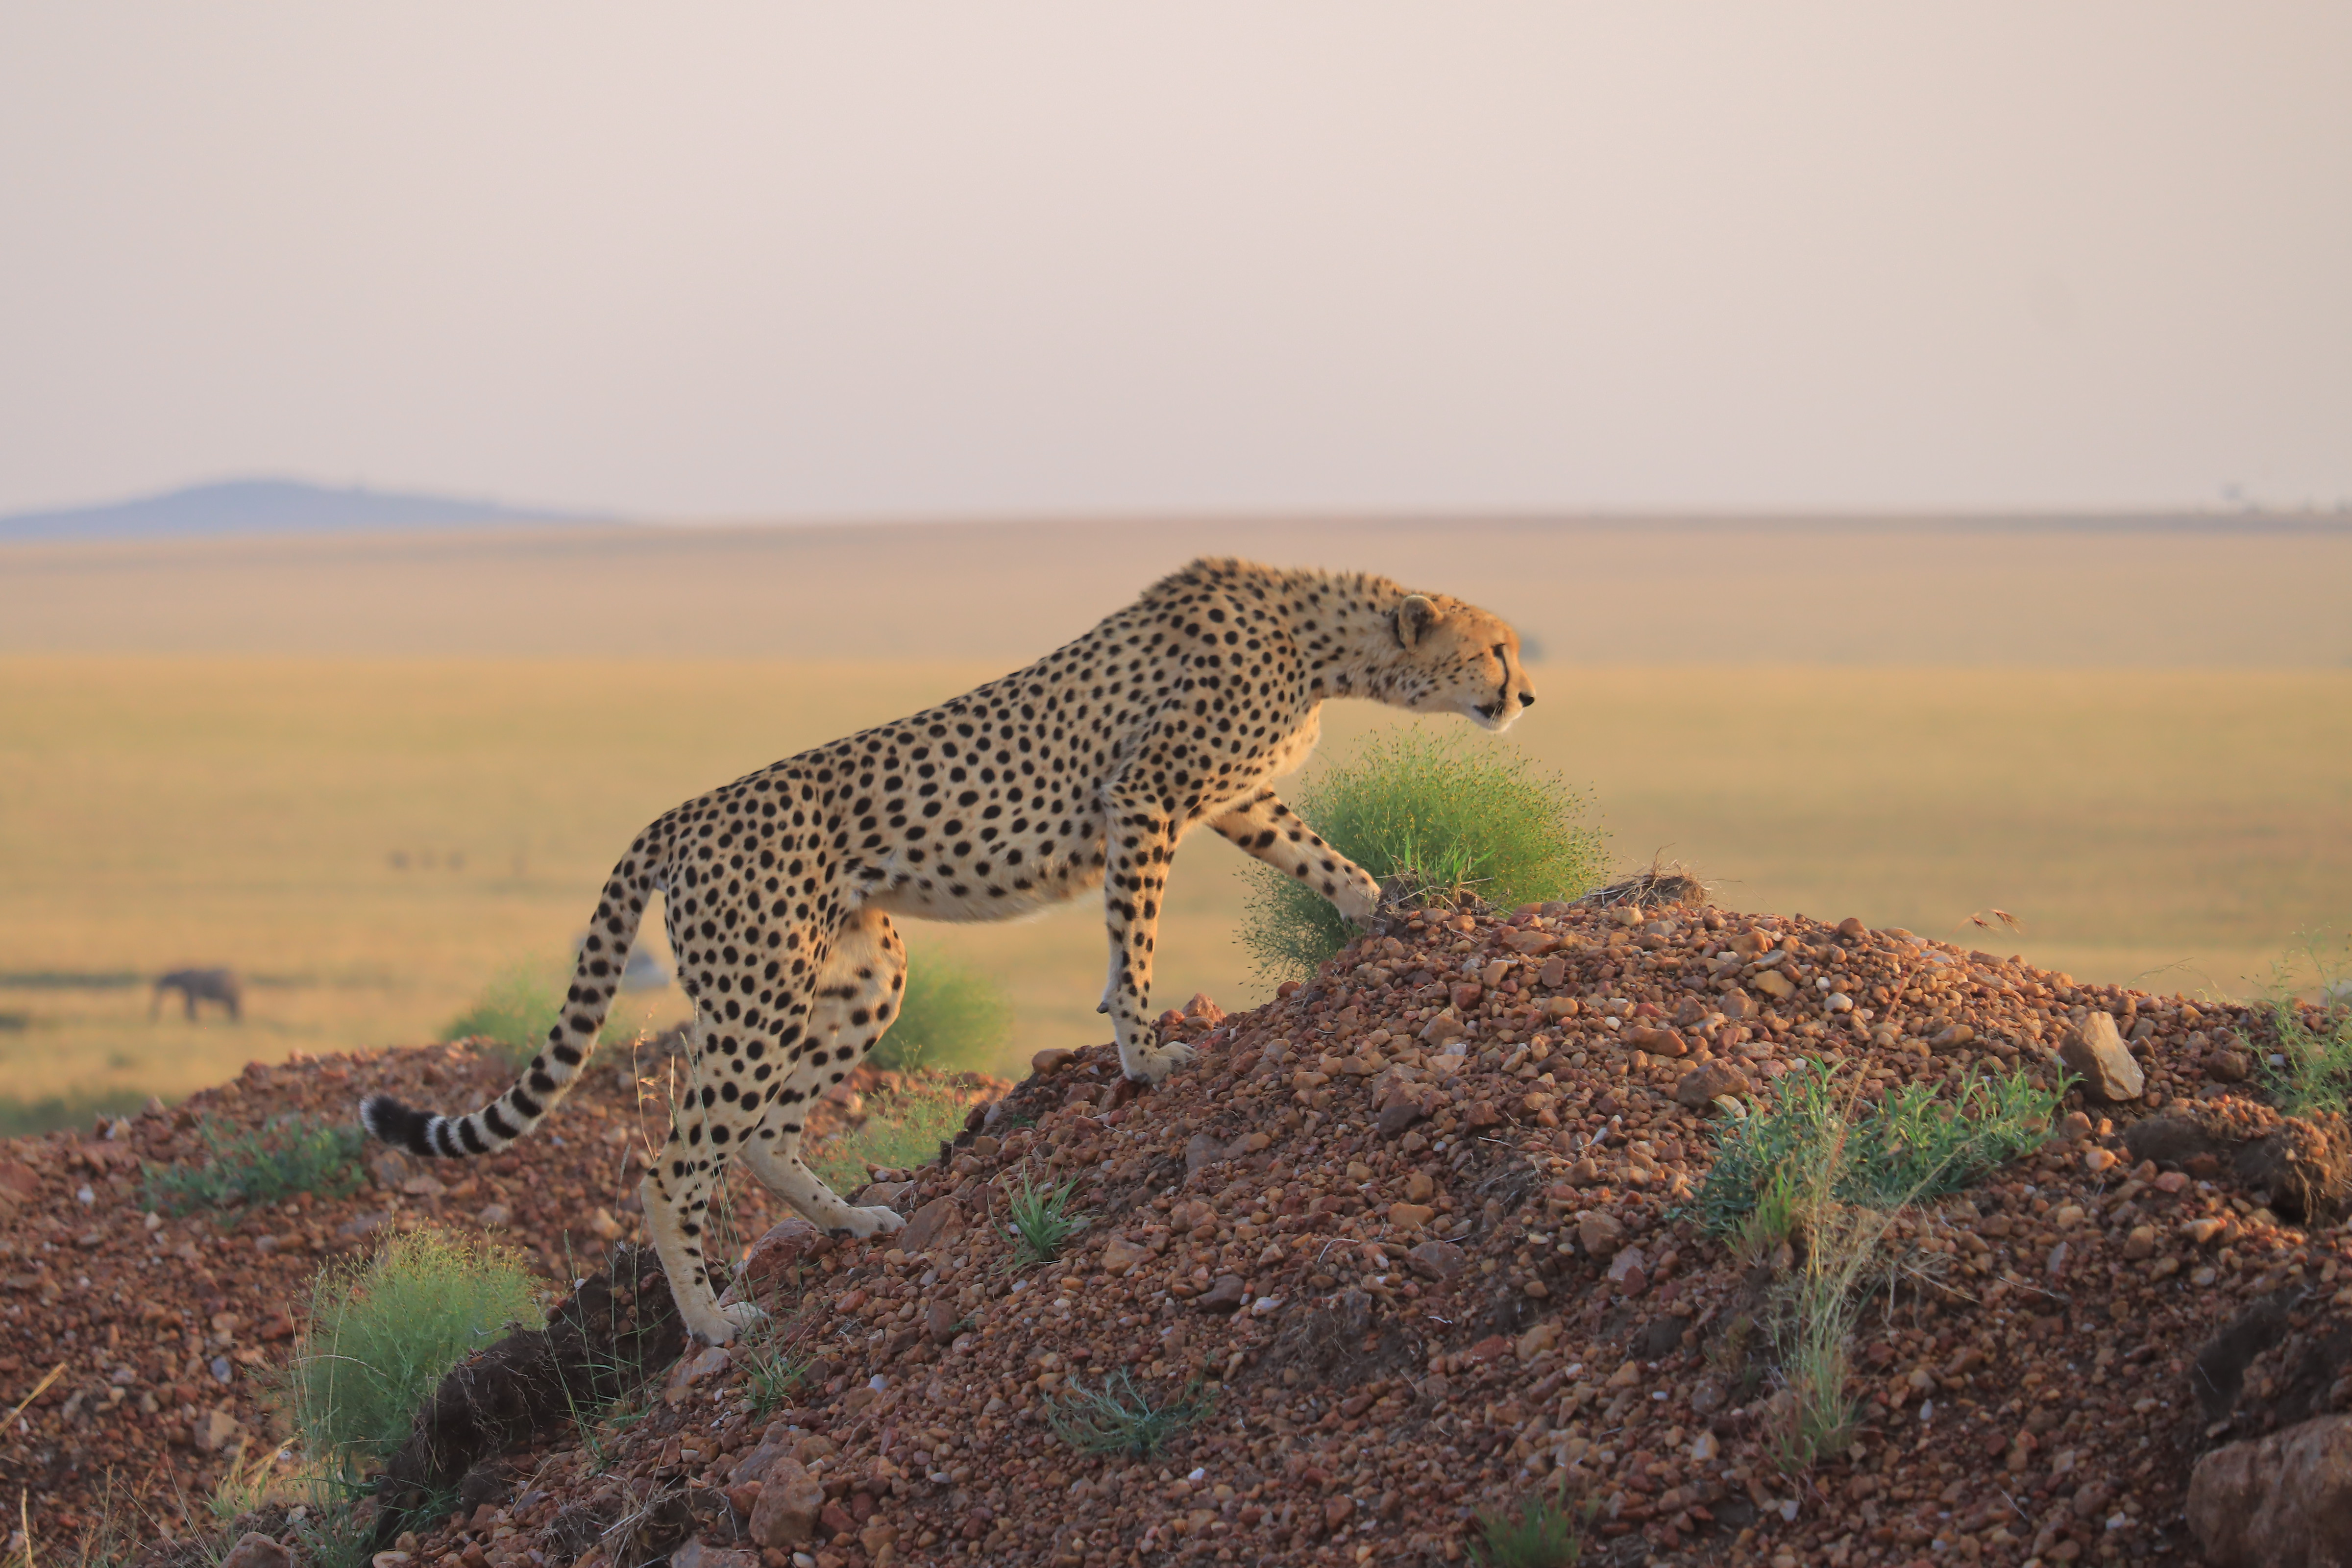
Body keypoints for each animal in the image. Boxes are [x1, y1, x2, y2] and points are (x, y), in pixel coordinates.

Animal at [361, 558, 1537, 1343]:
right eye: (1496, 647)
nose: (1527, 695)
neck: (1324, 637)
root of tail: (684, 813)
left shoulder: (1235, 798)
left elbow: (1328, 864)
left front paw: (1389, 913)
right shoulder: (1145, 800)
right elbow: (1134, 948)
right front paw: (1149, 1056)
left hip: (861, 977)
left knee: (764, 1133)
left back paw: (855, 1220)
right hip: (758, 996)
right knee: (672, 1163)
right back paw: (715, 1323)